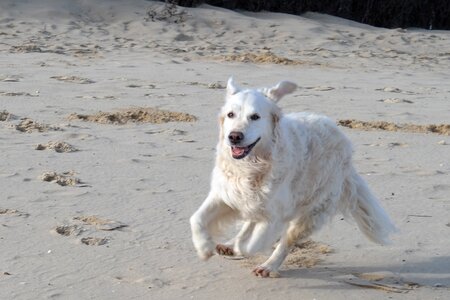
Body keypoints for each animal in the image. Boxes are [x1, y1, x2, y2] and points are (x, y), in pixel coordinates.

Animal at [190, 78, 398, 278]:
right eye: (230, 115)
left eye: (255, 117)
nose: (234, 136)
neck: (252, 165)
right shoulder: (226, 194)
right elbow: (196, 219)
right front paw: (204, 248)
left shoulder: (274, 214)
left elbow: (251, 244)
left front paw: (240, 248)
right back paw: (230, 244)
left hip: (312, 210)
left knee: (286, 241)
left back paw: (267, 266)